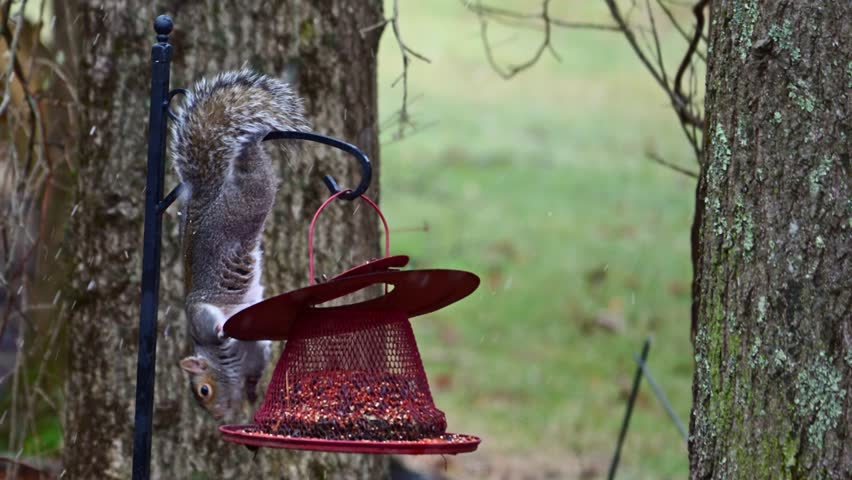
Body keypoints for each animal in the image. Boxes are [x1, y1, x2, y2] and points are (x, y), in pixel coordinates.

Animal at [171, 69, 308, 421]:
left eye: (204, 391)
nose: (219, 416)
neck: (227, 358)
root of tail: (209, 197)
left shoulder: (199, 314)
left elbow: (210, 319)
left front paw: (222, 328)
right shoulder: (255, 351)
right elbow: (257, 367)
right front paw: (252, 394)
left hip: (247, 202)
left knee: (256, 171)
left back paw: (251, 141)